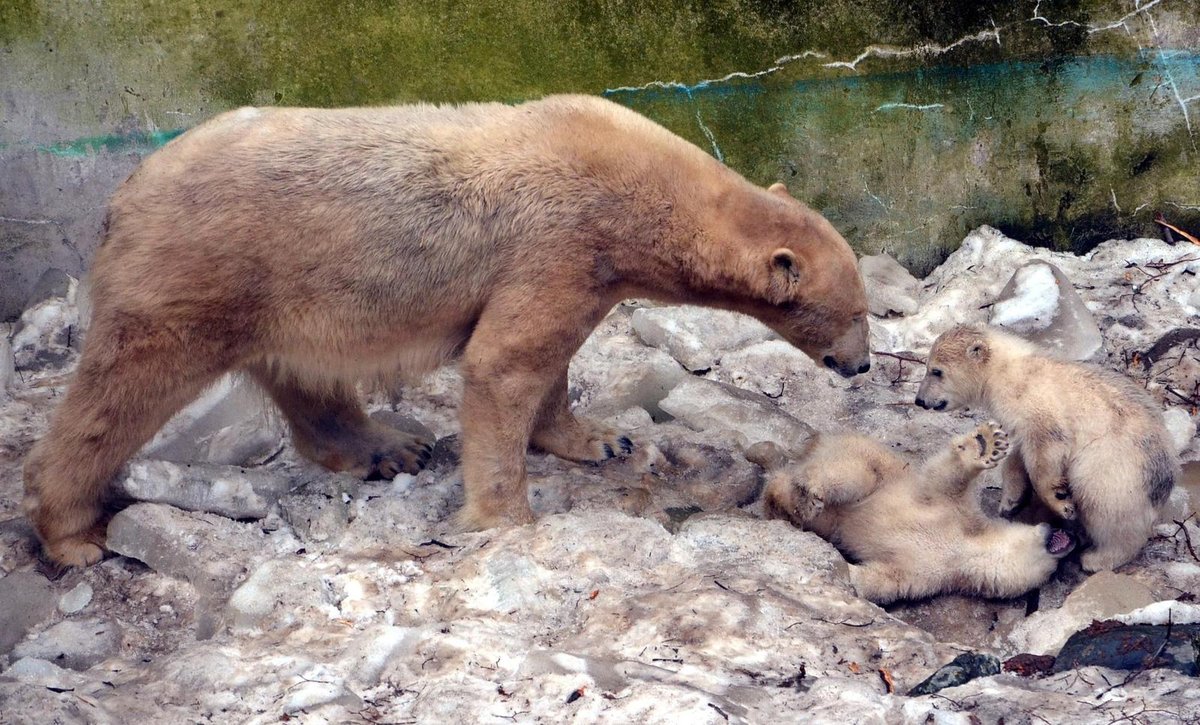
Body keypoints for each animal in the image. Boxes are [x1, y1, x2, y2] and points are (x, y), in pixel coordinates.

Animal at [25, 93, 873, 566]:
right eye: (859, 312)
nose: (862, 366)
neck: (642, 188)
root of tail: (124, 193)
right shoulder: (561, 240)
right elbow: (505, 362)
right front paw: (509, 516)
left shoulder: (581, 267)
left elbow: (549, 361)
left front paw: (602, 437)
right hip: (198, 272)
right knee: (123, 390)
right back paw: (72, 532)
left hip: (281, 289)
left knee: (306, 375)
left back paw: (386, 446)